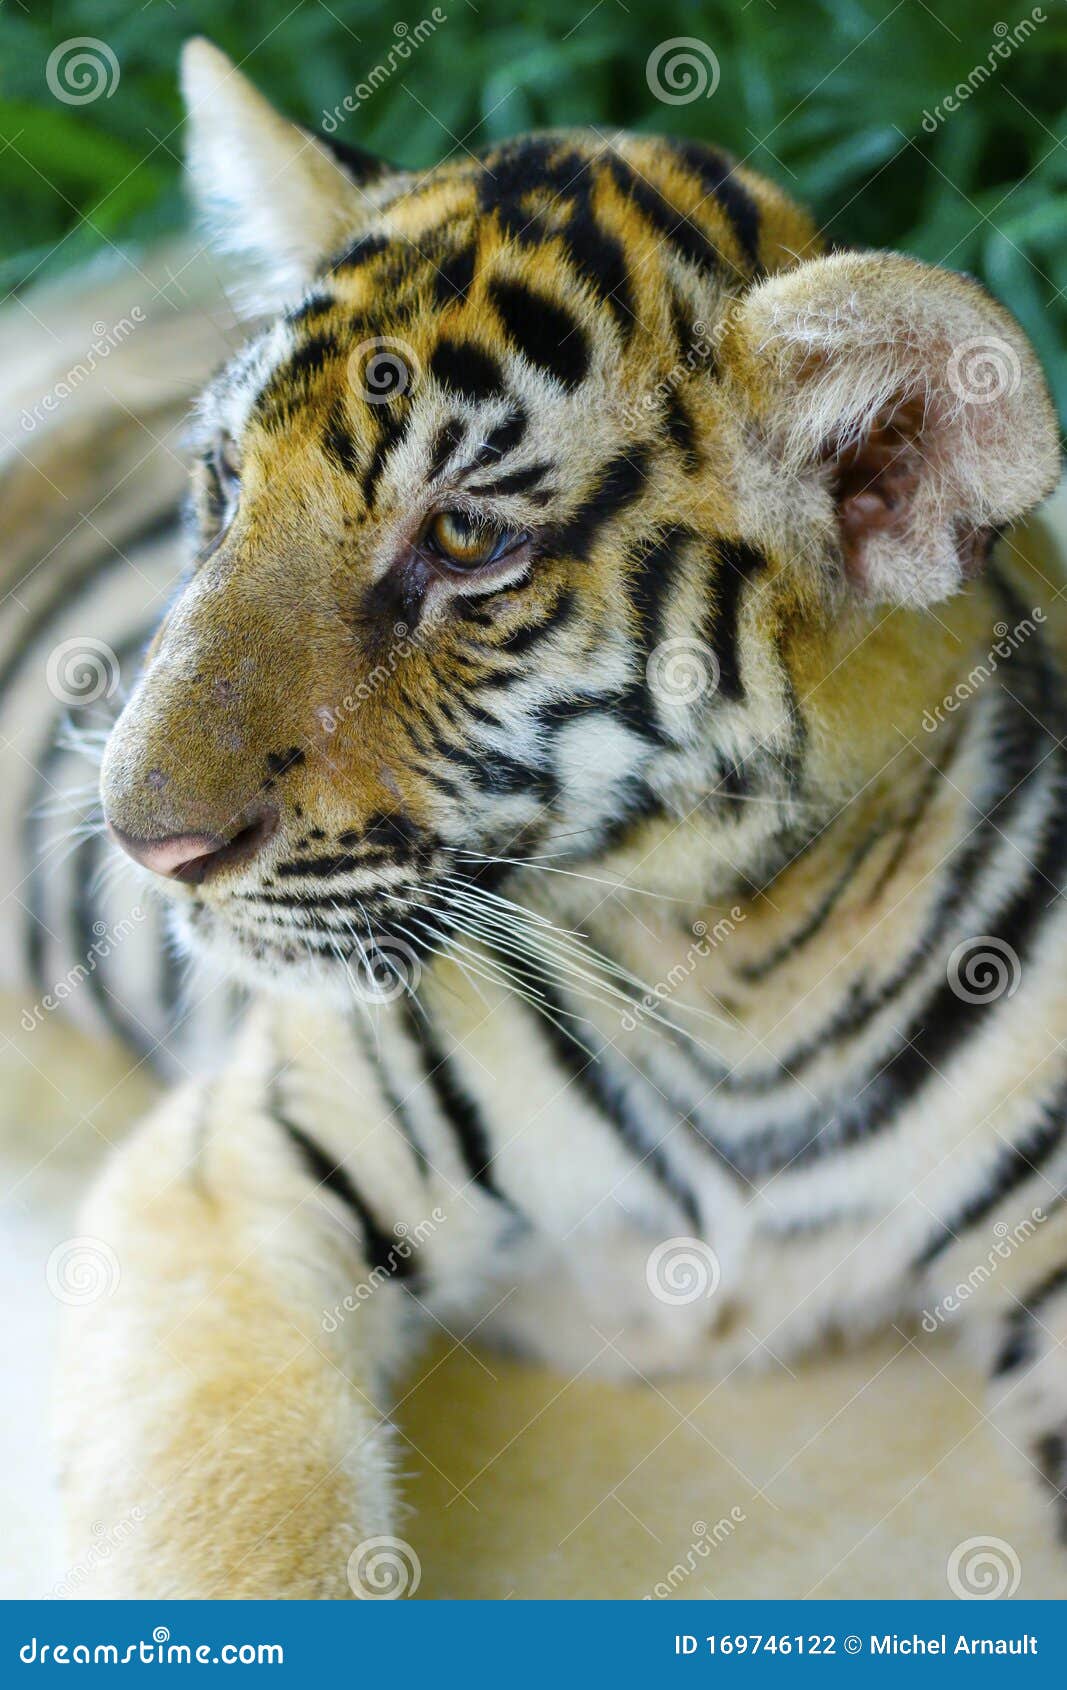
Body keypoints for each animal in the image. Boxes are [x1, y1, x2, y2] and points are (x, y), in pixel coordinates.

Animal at [7, 36, 1067, 1597]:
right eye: (223, 484)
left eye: (463, 541)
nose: (146, 844)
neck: (736, 974)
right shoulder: (247, 1170)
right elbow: (237, 1540)